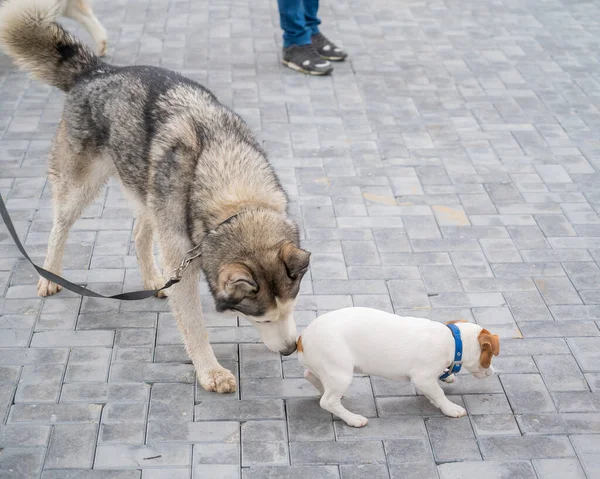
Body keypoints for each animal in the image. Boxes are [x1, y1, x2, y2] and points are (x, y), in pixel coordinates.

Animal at [0, 0, 310, 394]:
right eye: (264, 318)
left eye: (290, 309)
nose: (288, 350)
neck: (232, 194)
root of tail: (97, 71)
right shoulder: (184, 260)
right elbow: (194, 325)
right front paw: (210, 370)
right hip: (81, 188)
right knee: (60, 226)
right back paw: (50, 275)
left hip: (148, 192)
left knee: (139, 232)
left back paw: (152, 279)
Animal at [298, 310, 500, 430]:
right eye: (490, 356)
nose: (492, 372)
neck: (452, 340)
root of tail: (302, 338)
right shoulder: (423, 378)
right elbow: (439, 394)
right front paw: (450, 408)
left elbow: (435, 392)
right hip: (341, 372)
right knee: (327, 402)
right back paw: (353, 418)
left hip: (329, 370)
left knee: (311, 376)